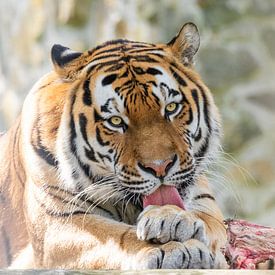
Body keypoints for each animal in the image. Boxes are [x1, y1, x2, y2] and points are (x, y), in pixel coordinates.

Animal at [0, 23, 229, 270]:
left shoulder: (204, 200)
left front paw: (173, 218)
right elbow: (115, 236)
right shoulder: (59, 223)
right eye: (116, 121)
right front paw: (172, 248)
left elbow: (208, 221)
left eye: (171, 108)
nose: (160, 167)